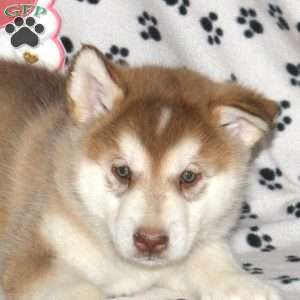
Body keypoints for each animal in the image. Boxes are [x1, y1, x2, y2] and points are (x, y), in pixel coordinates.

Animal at [0, 45, 280, 298]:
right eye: (122, 171)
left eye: (189, 176)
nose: (150, 240)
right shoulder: (33, 259)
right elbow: (85, 291)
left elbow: (212, 262)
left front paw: (245, 286)